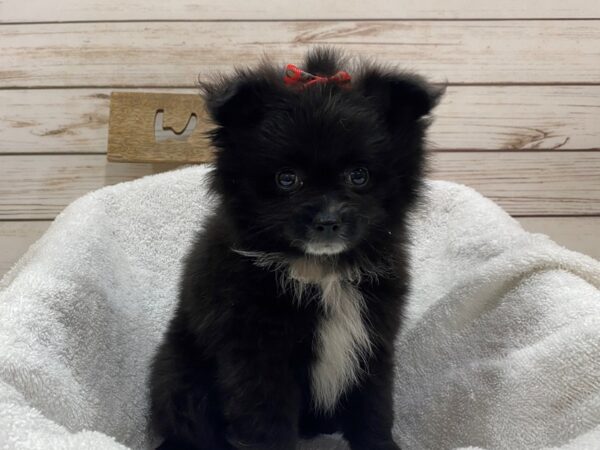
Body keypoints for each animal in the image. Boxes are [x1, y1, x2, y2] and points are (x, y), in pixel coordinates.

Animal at [150, 47, 440, 448]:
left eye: (359, 175)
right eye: (287, 179)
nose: (328, 220)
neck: (319, 270)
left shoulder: (373, 339)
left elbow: (374, 407)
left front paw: (382, 444)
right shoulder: (257, 354)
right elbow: (266, 420)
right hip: (179, 372)